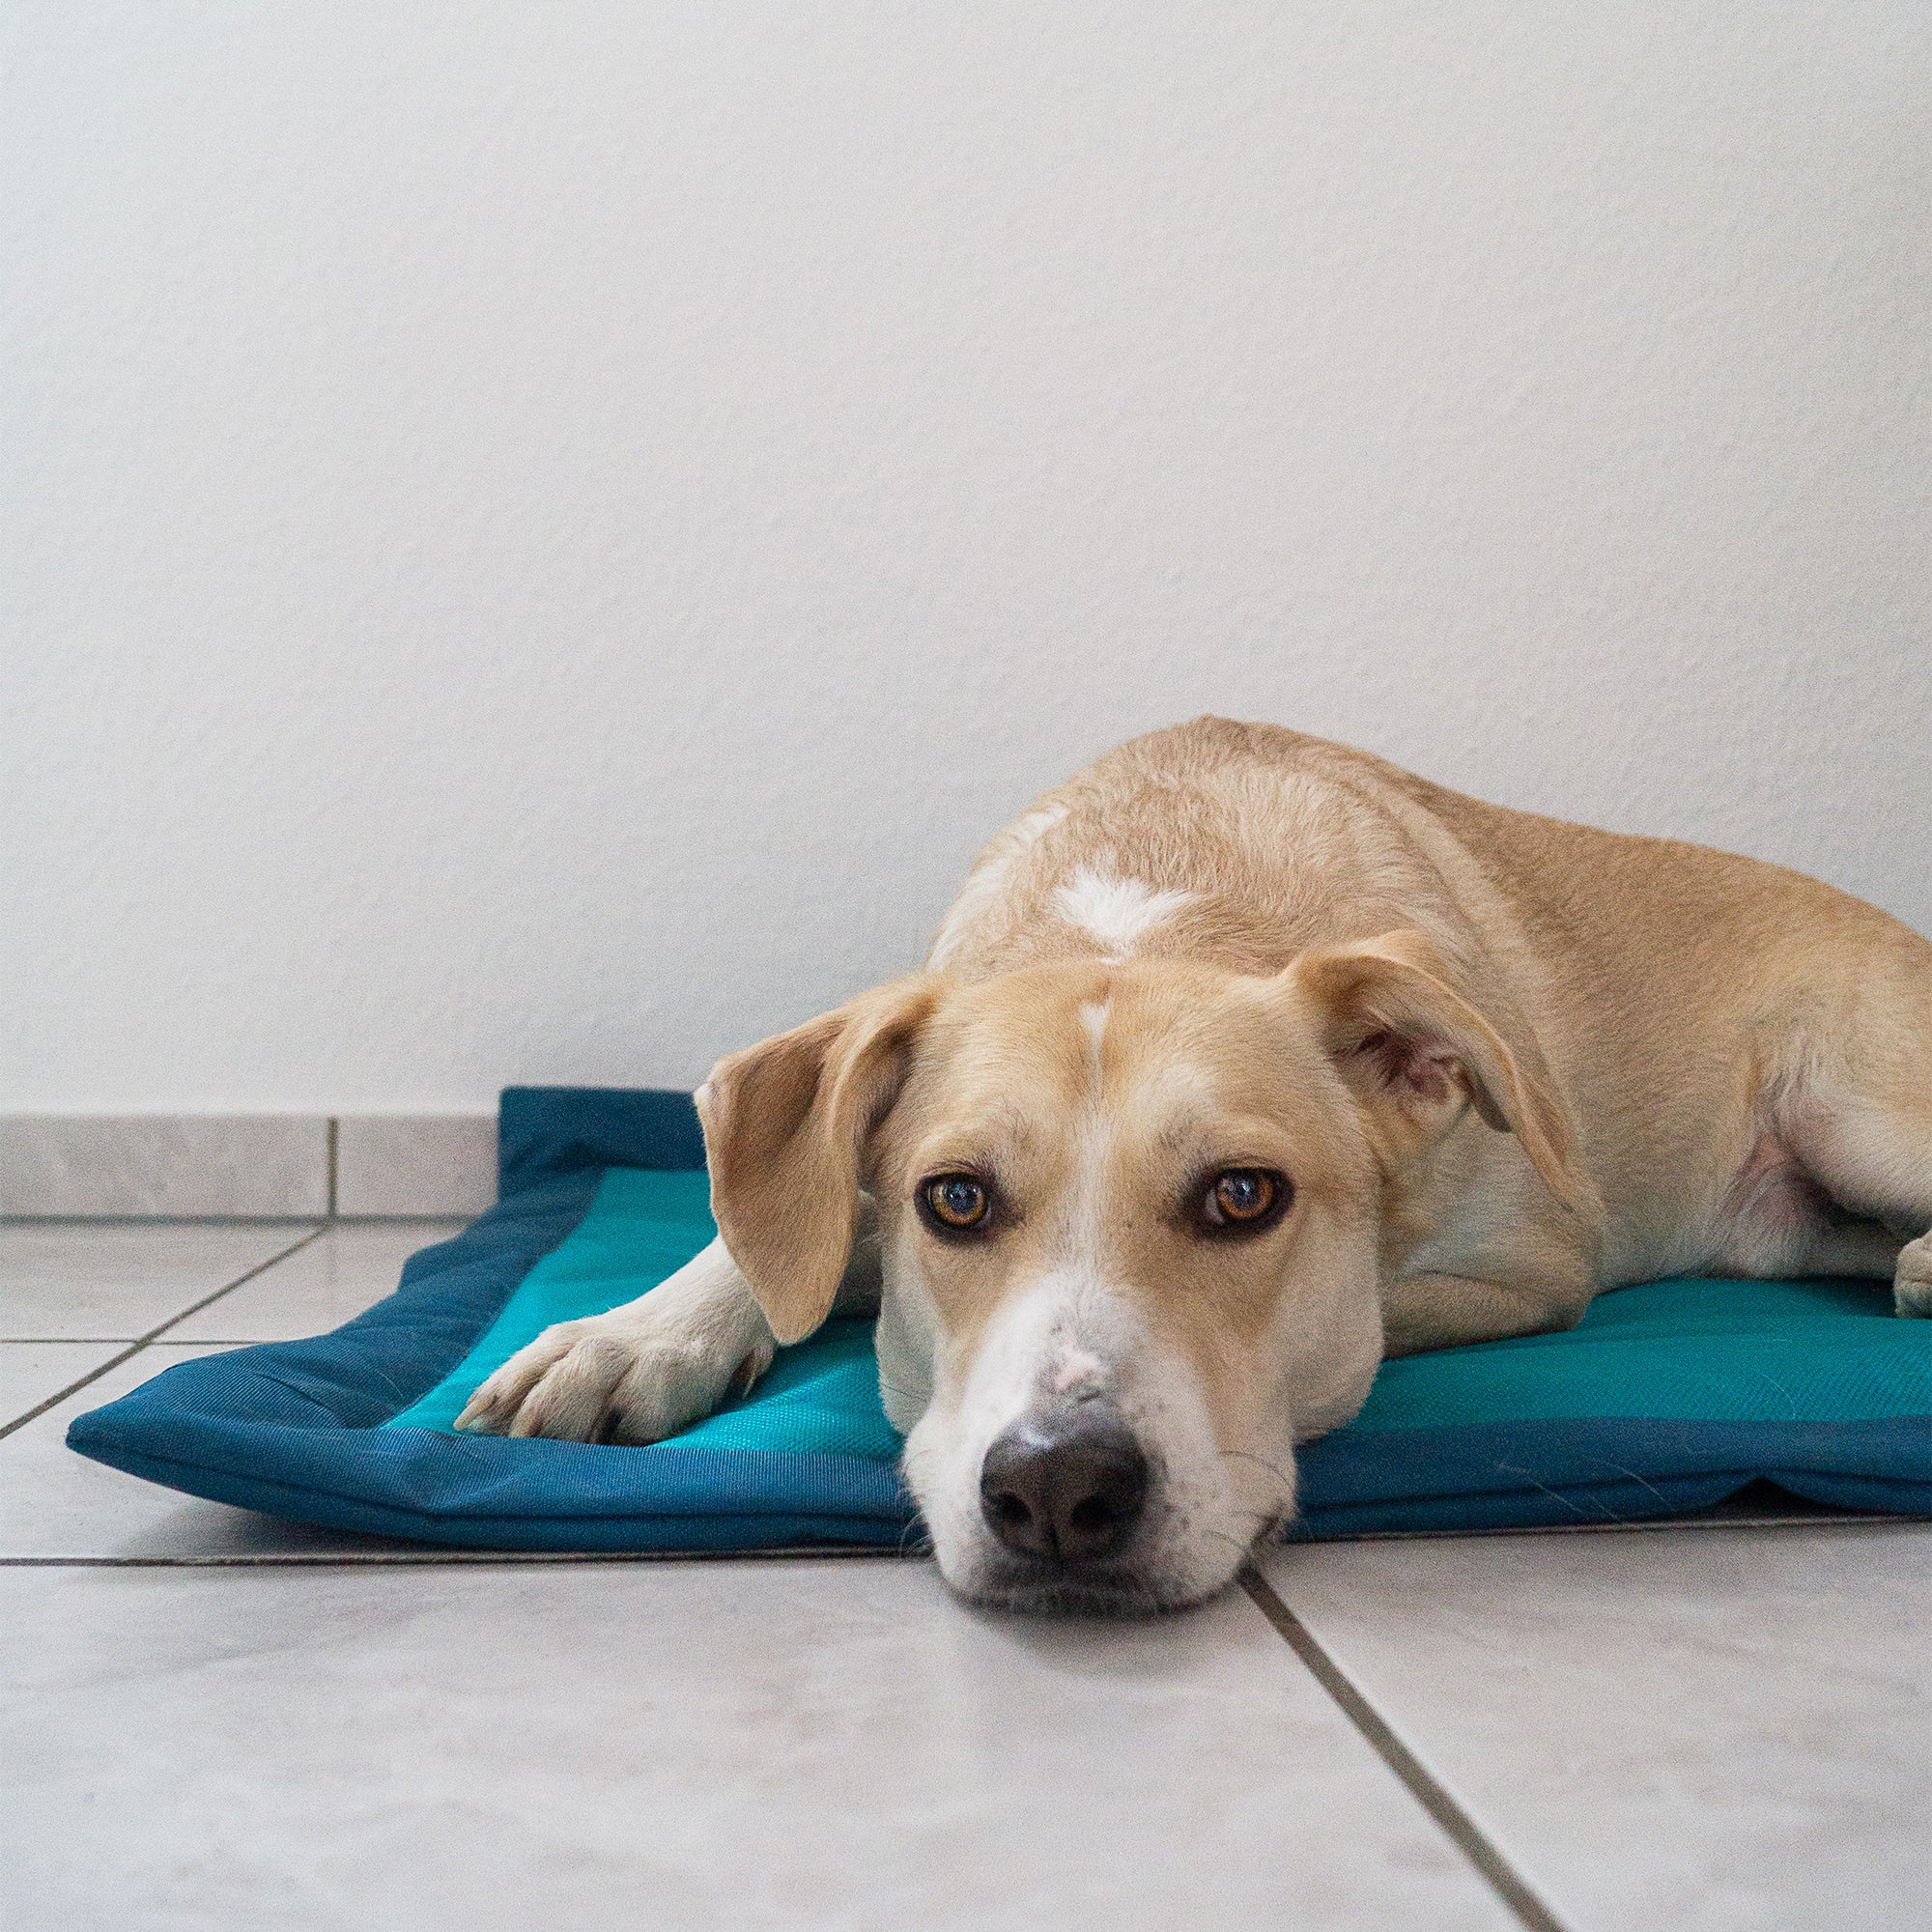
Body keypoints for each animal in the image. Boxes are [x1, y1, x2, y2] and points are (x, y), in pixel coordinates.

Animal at [456, 719, 1932, 1607]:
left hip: (1857, 1113)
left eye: (1241, 1196)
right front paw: (630, 1335)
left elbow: (1372, 1323)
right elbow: (774, 1242)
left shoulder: (1531, 1268)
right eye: (955, 1199)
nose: (1058, 1490)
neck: (1148, 903)